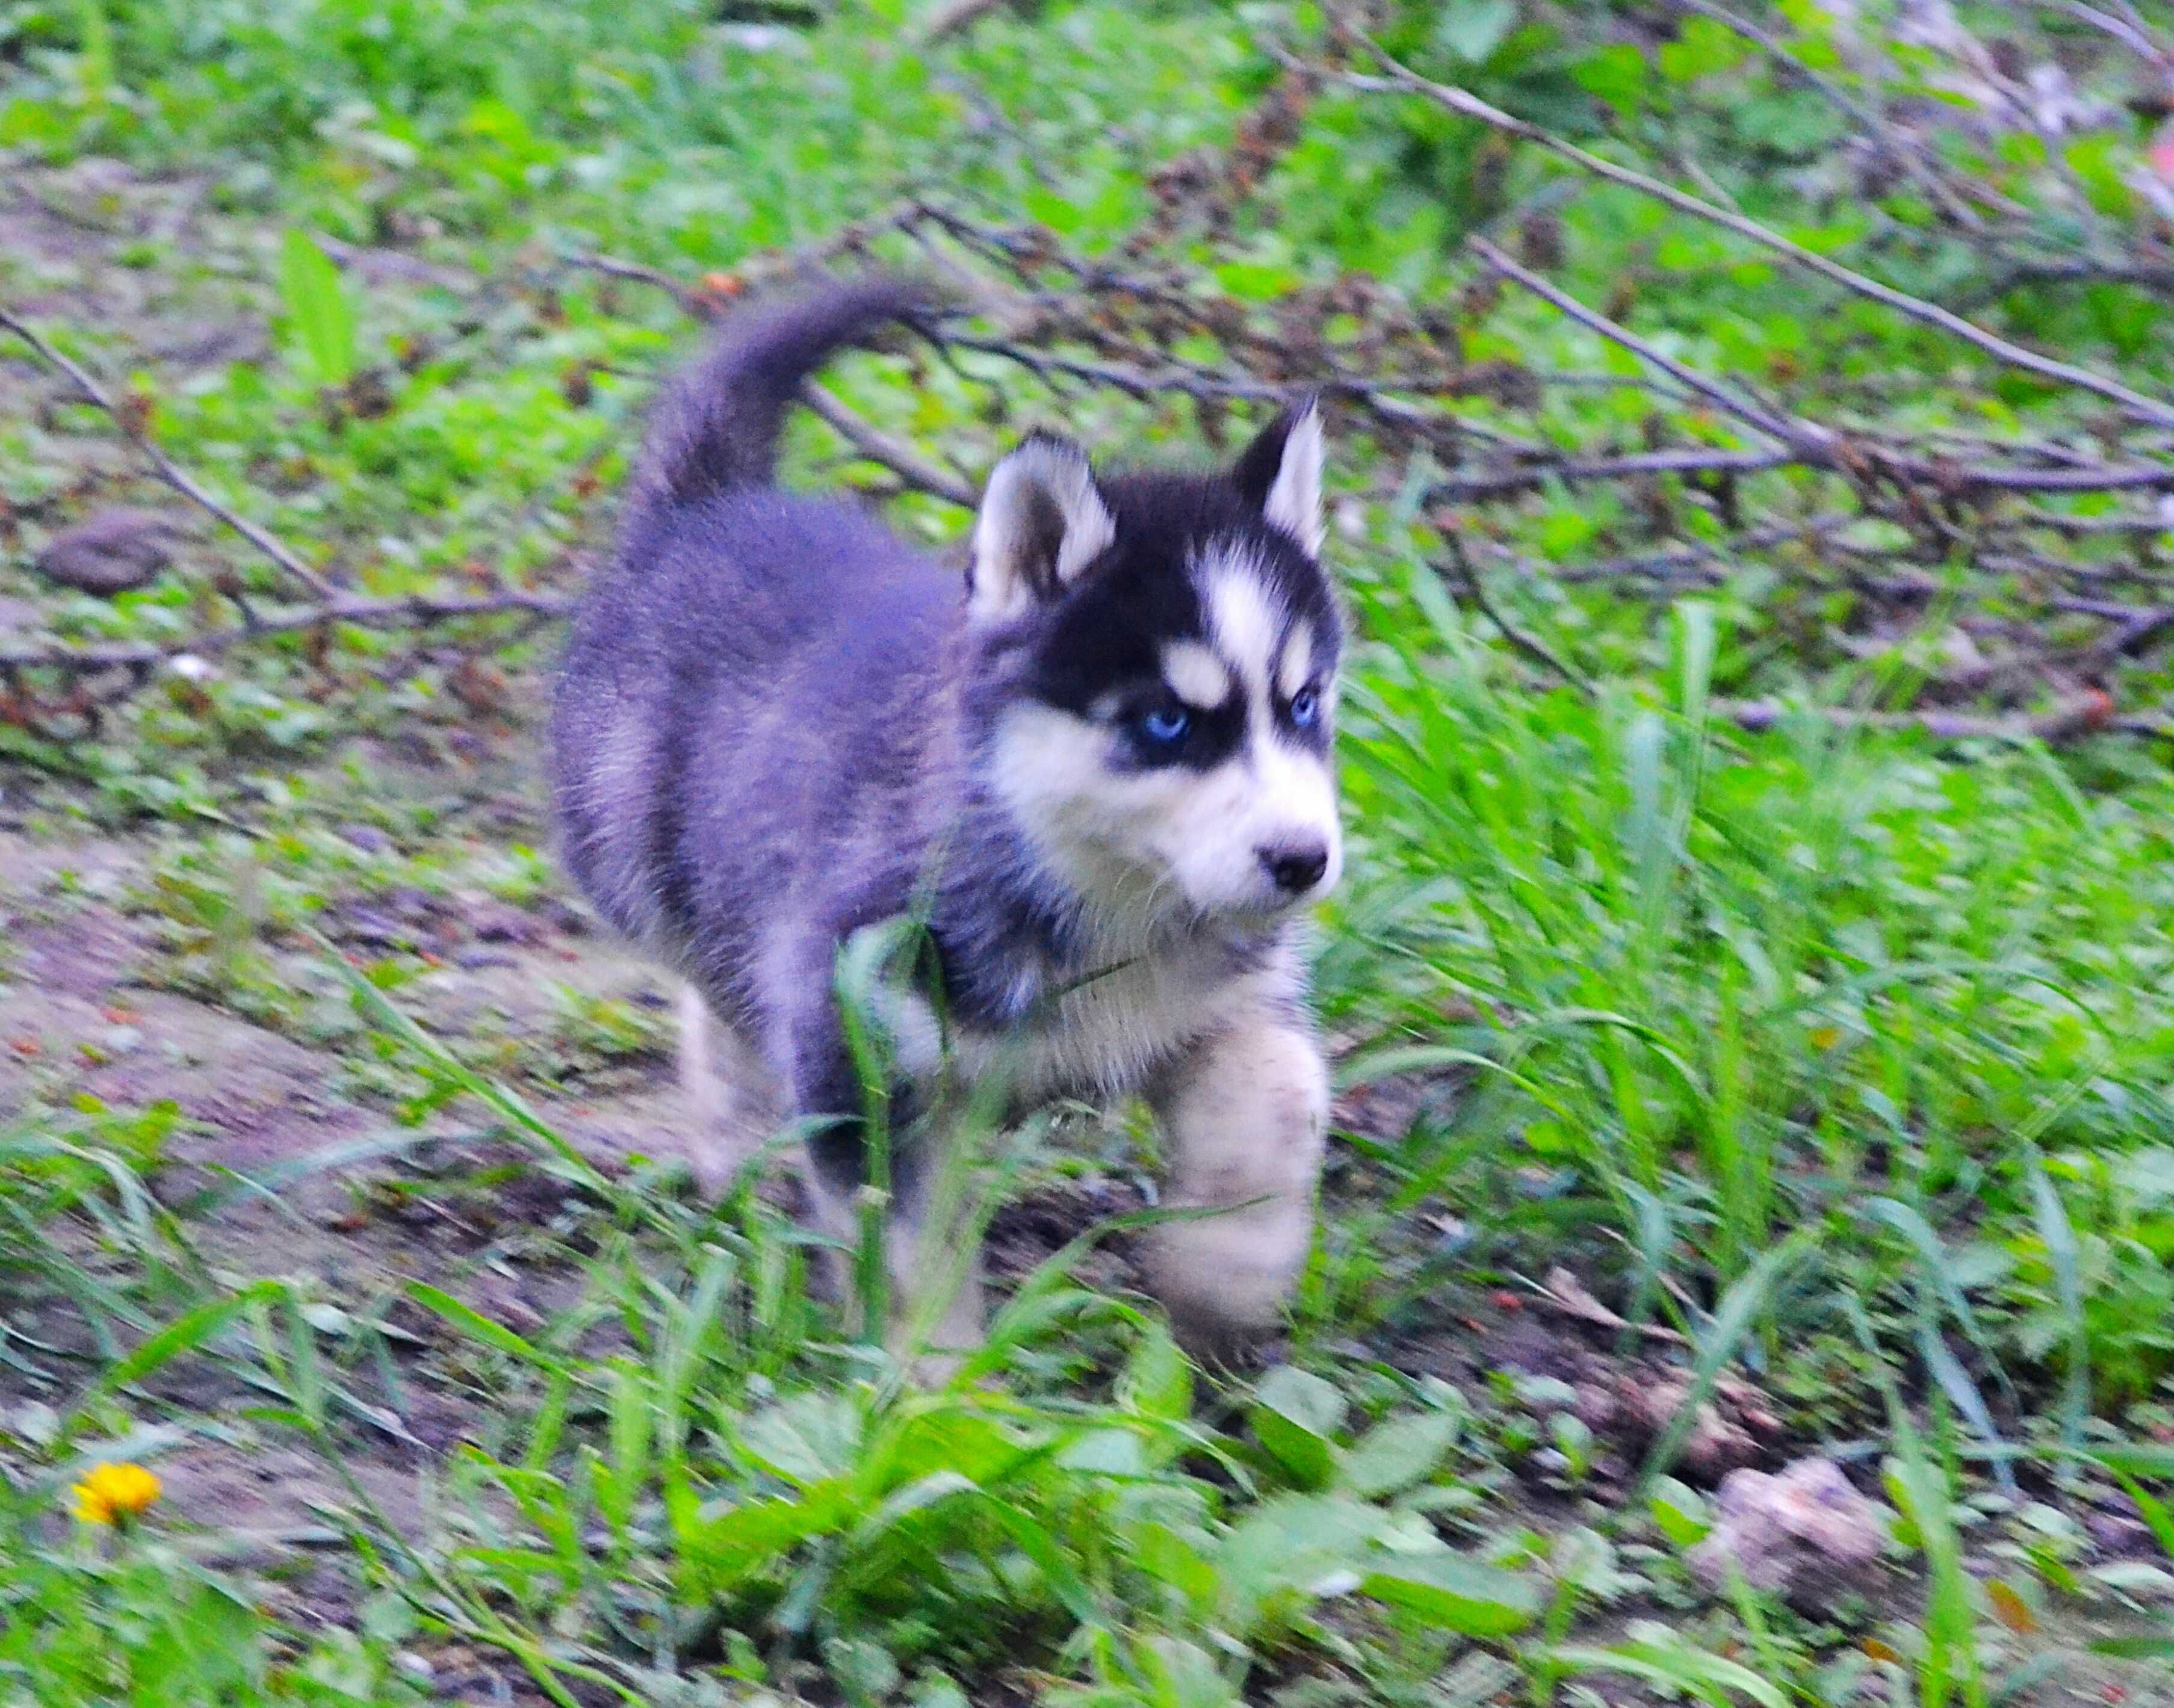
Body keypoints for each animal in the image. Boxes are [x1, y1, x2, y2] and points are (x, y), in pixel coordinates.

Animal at [552, 276, 1339, 1347]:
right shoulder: (854, 1031)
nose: (1304, 860)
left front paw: (1227, 1281)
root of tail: (708, 509)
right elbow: (908, 1256)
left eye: (1302, 704)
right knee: (718, 1010)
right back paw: (747, 1163)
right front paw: (936, 1380)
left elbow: (1282, 1100)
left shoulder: (1223, 1008)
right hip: (658, 873)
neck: (1103, 901)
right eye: (1167, 721)